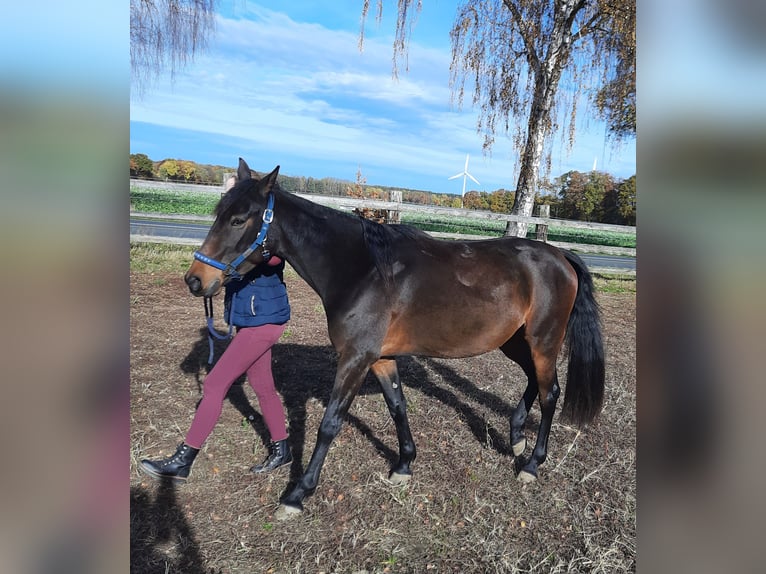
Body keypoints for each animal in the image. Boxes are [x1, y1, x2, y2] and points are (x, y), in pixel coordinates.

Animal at [184, 158, 605, 520]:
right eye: (218, 214)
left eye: (239, 219)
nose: (196, 280)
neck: (363, 270)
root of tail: (560, 257)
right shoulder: (380, 358)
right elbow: (397, 406)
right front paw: (403, 464)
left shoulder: (355, 358)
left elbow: (330, 423)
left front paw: (298, 493)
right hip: (516, 342)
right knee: (535, 381)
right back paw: (516, 436)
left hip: (542, 341)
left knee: (550, 394)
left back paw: (531, 464)